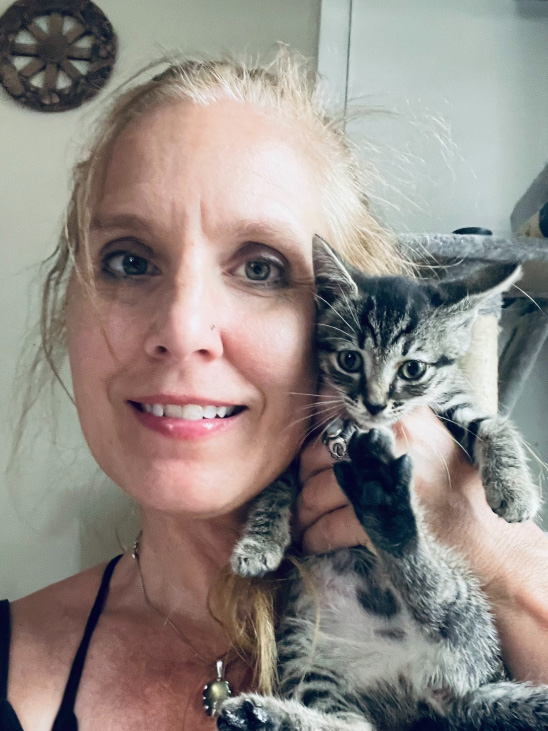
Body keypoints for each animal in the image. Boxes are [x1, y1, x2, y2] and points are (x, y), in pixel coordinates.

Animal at [217, 239, 544, 731]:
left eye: (412, 369)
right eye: (349, 359)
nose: (373, 404)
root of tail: (438, 697)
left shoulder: (454, 398)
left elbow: (493, 425)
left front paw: (514, 491)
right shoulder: (298, 445)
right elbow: (274, 488)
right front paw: (260, 543)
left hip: (470, 616)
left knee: (441, 602)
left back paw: (387, 511)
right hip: (308, 656)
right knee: (357, 725)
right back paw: (261, 715)